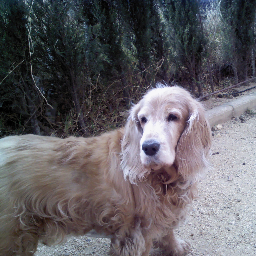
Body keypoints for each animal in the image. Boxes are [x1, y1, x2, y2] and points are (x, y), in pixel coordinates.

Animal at [0, 85, 211, 255]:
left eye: (173, 117)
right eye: (143, 119)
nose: (148, 147)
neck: (162, 177)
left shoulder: (161, 214)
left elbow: (168, 231)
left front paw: (176, 247)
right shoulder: (135, 235)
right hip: (12, 236)